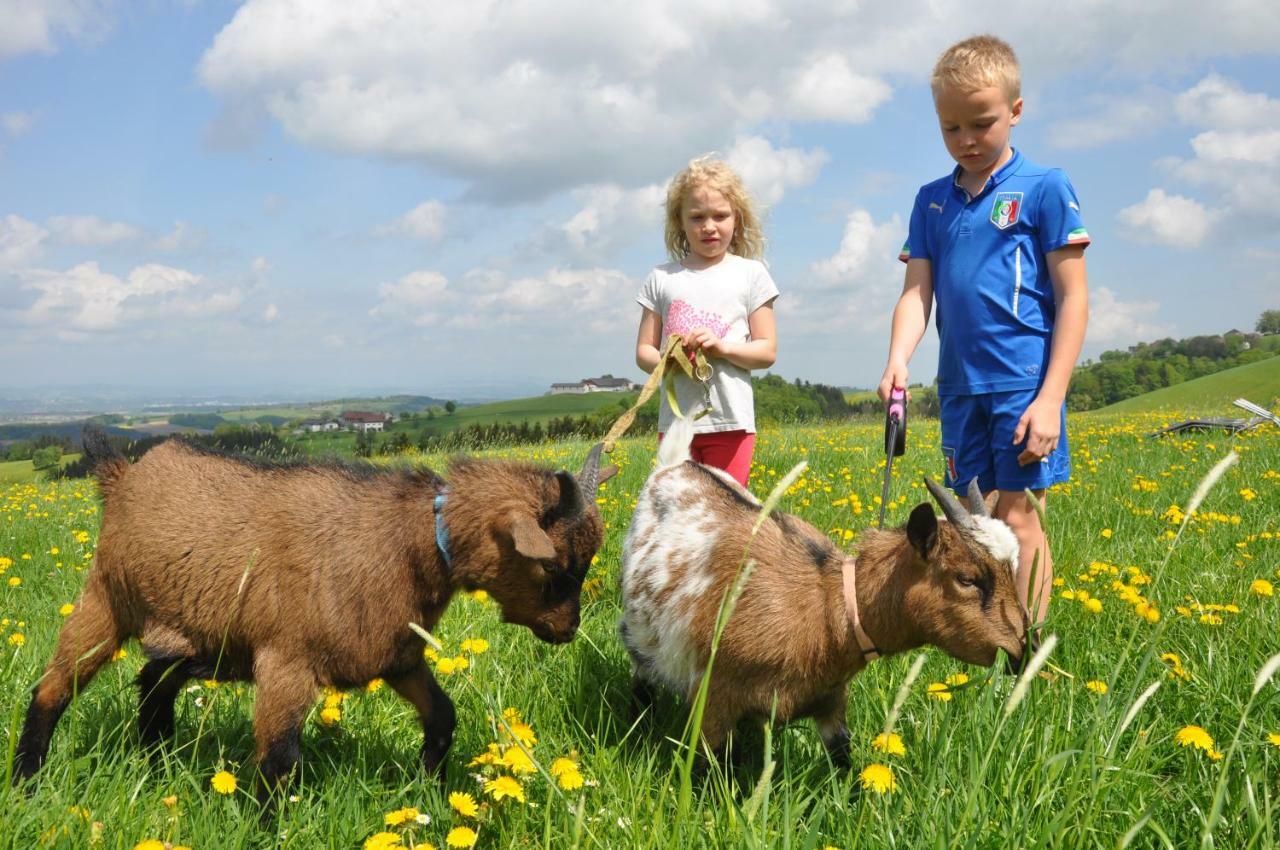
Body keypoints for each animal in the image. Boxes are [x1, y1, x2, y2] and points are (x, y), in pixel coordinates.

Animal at [15, 432, 614, 798]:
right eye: (553, 567)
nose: (568, 630)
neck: (407, 542)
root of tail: (122, 475)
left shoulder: (396, 657)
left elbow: (442, 717)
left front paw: (424, 787)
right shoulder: (287, 662)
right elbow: (279, 759)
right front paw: (266, 830)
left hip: (191, 635)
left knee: (152, 685)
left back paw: (157, 764)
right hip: (104, 599)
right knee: (52, 689)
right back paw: (26, 780)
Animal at [619, 417, 1029, 762]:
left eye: (1013, 569)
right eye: (966, 578)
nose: (1022, 651)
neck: (825, 609)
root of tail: (675, 464)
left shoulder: (831, 702)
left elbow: (844, 762)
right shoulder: (713, 702)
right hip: (640, 633)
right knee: (641, 675)